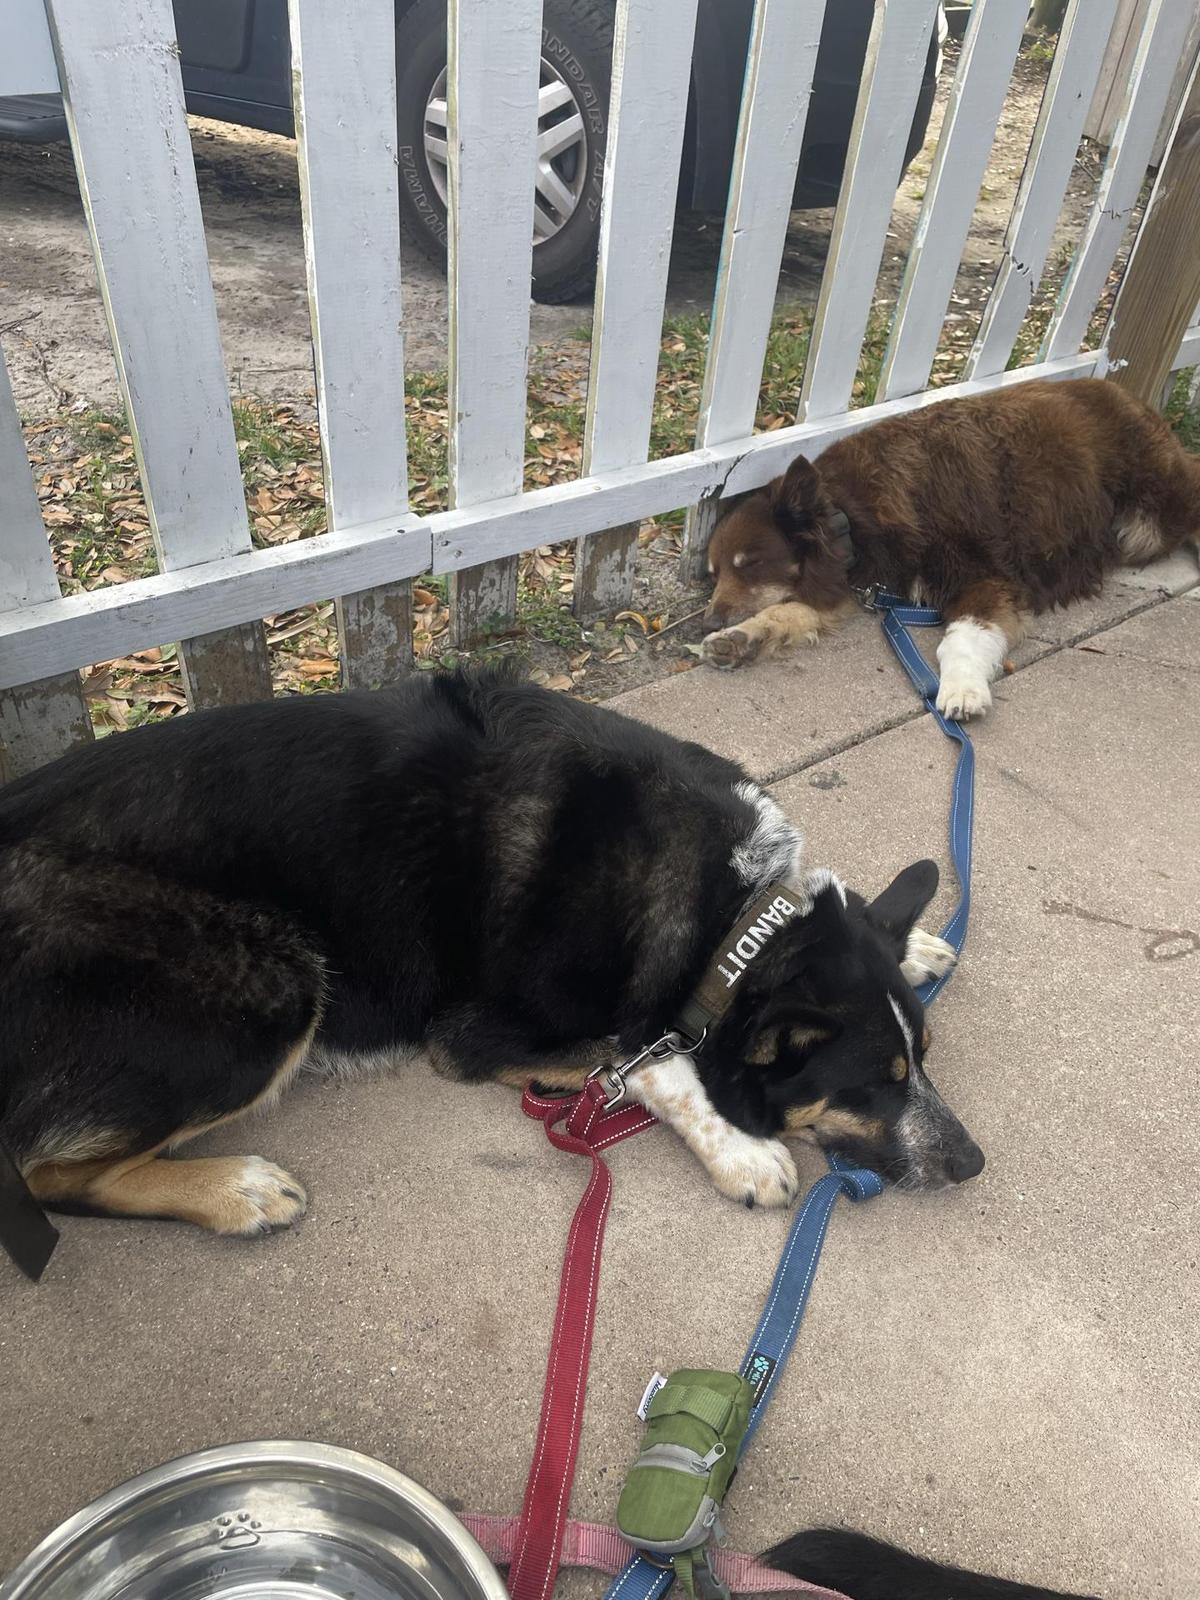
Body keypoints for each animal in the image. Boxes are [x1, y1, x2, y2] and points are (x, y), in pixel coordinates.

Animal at [0, 662, 979, 1235]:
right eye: (872, 1083)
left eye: (923, 1059)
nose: (972, 1164)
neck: (733, 919)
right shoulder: (477, 1035)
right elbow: (655, 1063)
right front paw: (737, 1149)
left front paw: (919, 944)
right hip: (274, 987)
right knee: (47, 1174)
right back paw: (234, 1191)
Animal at [704, 377, 1200, 716]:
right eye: (716, 572)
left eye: (749, 564)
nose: (707, 619)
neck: (851, 512)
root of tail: (1128, 394)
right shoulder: (862, 581)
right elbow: (789, 611)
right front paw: (741, 637)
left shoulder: (987, 578)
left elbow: (961, 637)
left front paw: (962, 687)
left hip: (1151, 519)